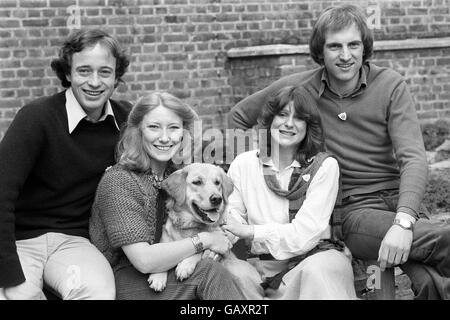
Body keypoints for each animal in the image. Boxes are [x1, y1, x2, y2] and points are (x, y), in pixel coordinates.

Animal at [149, 164, 236, 292]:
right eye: (197, 182)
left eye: (217, 183)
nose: (217, 198)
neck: (190, 226)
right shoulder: (165, 241)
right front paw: (158, 276)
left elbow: (199, 252)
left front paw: (185, 266)